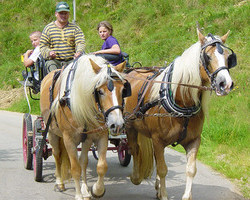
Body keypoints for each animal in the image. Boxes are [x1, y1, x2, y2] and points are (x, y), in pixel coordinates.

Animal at [39, 54, 129, 200]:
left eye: (123, 90)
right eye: (100, 91)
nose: (117, 124)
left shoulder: (98, 136)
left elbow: (100, 166)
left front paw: (96, 190)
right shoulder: (68, 139)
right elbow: (75, 168)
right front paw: (78, 195)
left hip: (85, 139)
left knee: (83, 161)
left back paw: (85, 189)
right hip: (52, 132)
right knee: (57, 154)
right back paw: (59, 183)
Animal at [123, 28, 236, 200]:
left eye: (228, 57)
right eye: (207, 57)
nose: (226, 84)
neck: (183, 102)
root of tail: (132, 70)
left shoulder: (194, 140)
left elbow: (190, 169)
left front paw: (183, 195)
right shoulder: (158, 140)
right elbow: (162, 169)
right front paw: (163, 194)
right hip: (130, 125)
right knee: (134, 149)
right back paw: (136, 177)